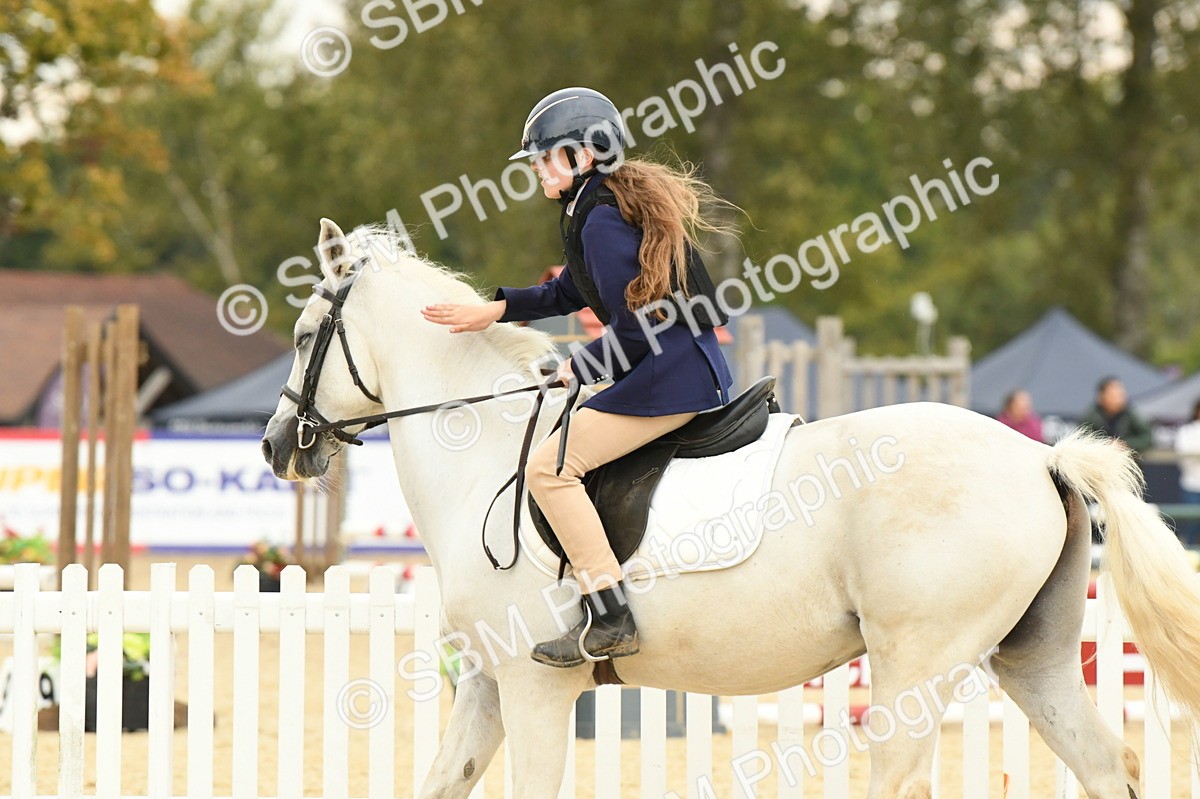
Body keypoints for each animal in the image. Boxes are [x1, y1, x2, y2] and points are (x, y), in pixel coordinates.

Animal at [262, 218, 1200, 799]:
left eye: (306, 337)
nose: (276, 445)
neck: (484, 450)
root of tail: (1042, 455)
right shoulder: (489, 685)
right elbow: (440, 780)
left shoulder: (535, 685)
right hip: (1033, 659)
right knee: (1105, 763)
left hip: (916, 667)